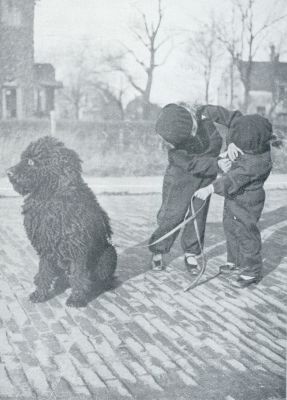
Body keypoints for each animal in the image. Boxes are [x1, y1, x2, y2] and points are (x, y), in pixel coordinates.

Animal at [7, 136, 117, 308]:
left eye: (31, 161)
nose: (8, 172)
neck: (51, 196)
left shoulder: (78, 248)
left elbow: (78, 276)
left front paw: (76, 298)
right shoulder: (46, 247)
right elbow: (44, 272)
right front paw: (40, 294)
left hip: (108, 254)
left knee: (101, 277)